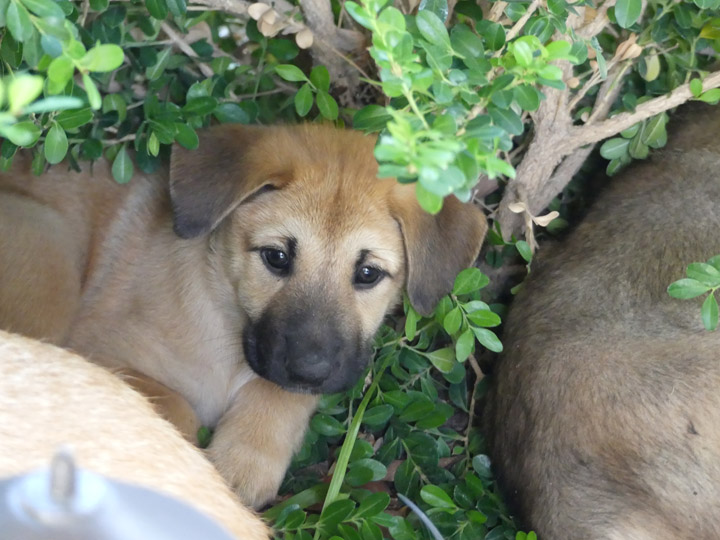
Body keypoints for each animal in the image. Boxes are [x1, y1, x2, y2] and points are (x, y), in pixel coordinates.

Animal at [0, 124, 486, 508]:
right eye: (276, 257)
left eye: (368, 273)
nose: (309, 371)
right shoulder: (94, 348)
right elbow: (172, 406)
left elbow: (279, 397)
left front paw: (241, 463)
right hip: (49, 254)